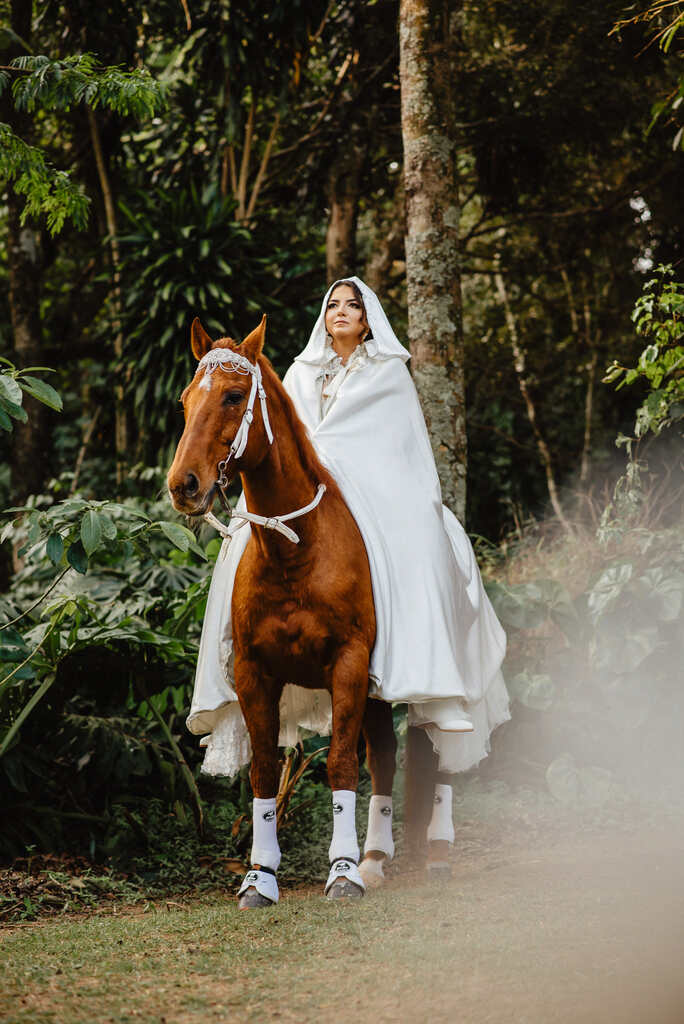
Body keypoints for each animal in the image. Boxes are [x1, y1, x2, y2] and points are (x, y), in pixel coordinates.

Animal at [166, 313, 401, 905]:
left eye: (232, 396)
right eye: (185, 400)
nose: (184, 485)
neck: (296, 550)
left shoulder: (349, 664)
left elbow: (341, 762)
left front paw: (341, 870)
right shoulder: (255, 671)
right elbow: (265, 771)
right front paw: (260, 876)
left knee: (390, 754)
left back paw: (386, 858)